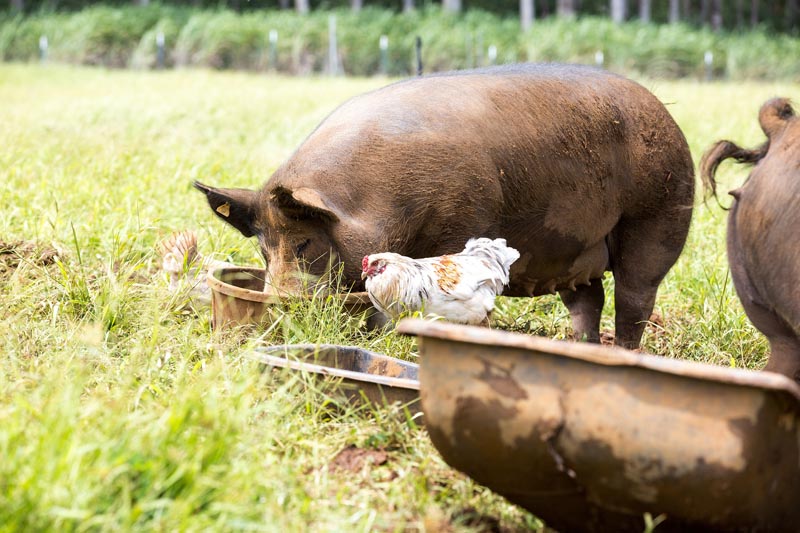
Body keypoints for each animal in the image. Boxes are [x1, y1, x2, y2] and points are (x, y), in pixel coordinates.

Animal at [195, 64, 695, 349]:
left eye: (303, 244)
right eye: (263, 251)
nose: (281, 301)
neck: (373, 200)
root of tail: (666, 113)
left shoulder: (463, 221)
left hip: (660, 211)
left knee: (634, 296)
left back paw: (623, 353)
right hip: (576, 249)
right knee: (588, 298)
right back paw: (583, 349)